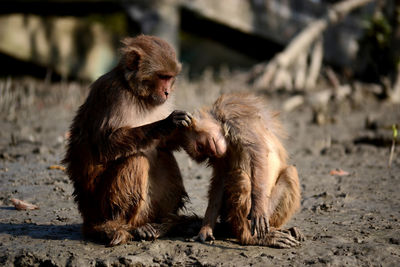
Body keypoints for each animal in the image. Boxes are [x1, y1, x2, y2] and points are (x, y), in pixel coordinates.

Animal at [62, 35, 194, 247]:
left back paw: (163, 223)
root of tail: (88, 218)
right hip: (100, 206)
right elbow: (105, 145)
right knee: (136, 160)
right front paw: (167, 123)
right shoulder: (113, 95)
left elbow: (164, 145)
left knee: (163, 155)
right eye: (162, 77)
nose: (167, 92)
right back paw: (120, 227)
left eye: (170, 77)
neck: (134, 92)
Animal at [181, 92, 304, 249]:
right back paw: (250, 237)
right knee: (242, 178)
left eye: (201, 147)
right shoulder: (222, 152)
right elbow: (221, 179)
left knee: (289, 173)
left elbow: (258, 151)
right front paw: (205, 230)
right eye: (205, 153)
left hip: (268, 212)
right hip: (232, 215)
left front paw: (258, 209)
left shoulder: (234, 116)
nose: (213, 153)